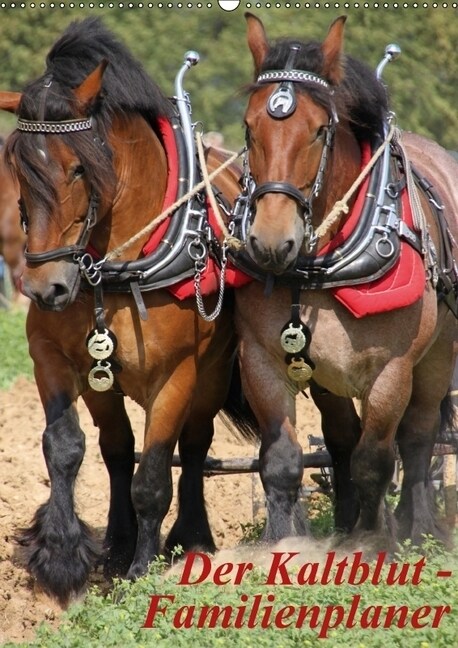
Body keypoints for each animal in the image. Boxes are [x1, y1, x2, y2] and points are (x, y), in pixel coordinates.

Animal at [0, 20, 247, 608]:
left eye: (78, 168)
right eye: (18, 167)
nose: (44, 288)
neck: (115, 270)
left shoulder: (177, 376)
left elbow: (155, 473)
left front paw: (141, 572)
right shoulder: (53, 357)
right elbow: (65, 447)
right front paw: (63, 558)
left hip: (211, 374)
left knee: (194, 447)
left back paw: (189, 539)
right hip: (103, 383)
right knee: (116, 451)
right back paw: (116, 541)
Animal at [233, 13, 458, 552]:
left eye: (319, 131)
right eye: (249, 128)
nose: (271, 241)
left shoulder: (392, 371)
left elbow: (375, 459)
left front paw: (374, 543)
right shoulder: (261, 359)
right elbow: (283, 461)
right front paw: (285, 545)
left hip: (438, 355)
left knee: (417, 437)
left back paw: (417, 526)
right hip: (327, 377)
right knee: (339, 439)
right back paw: (346, 521)